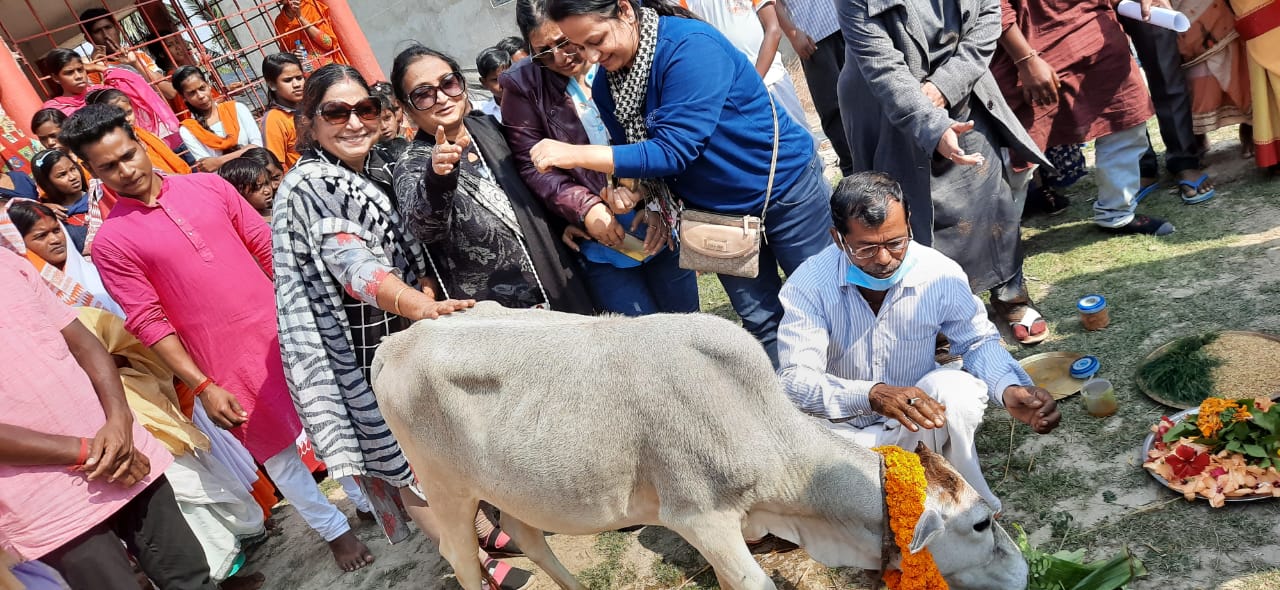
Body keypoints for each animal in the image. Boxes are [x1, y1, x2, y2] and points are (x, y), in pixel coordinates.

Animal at [371, 302, 1027, 590]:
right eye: (979, 525)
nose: (1023, 573)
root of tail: (395, 341)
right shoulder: (700, 517)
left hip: (513, 486)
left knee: (527, 535)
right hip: (447, 490)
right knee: (461, 557)